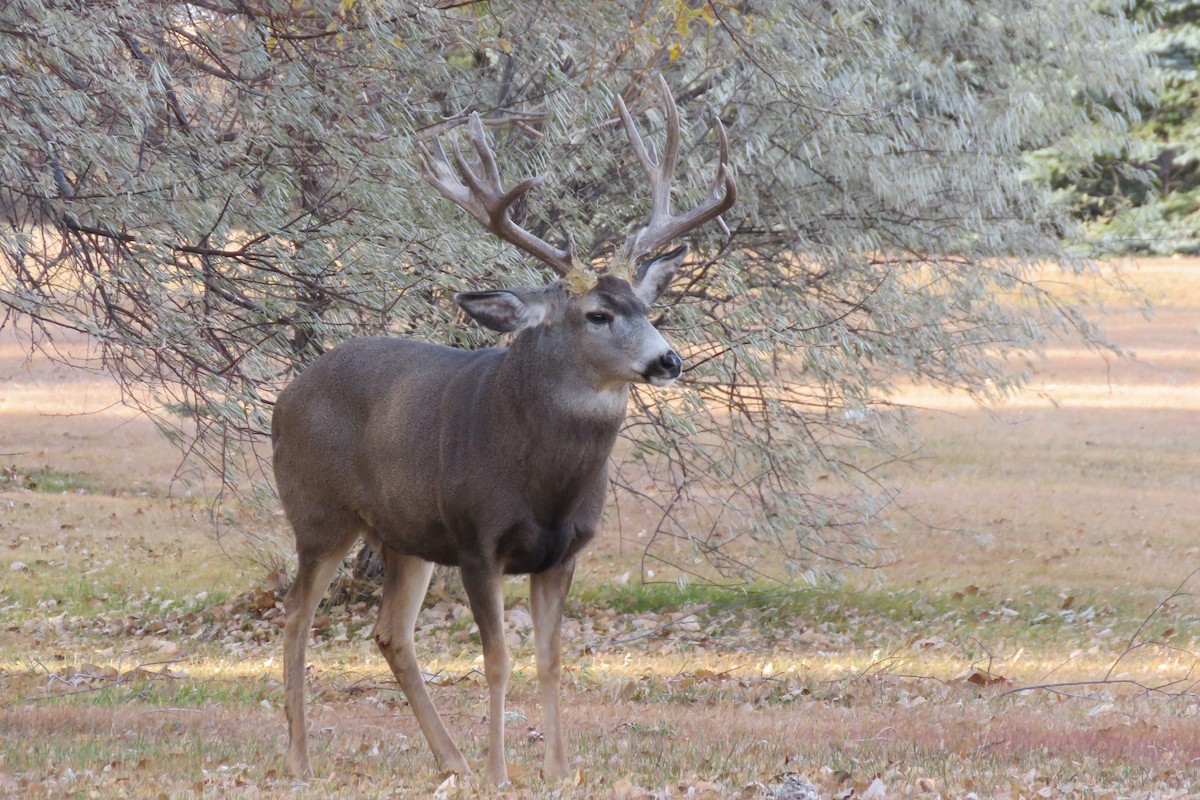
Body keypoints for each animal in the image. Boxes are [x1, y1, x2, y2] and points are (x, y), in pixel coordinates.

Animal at [272, 76, 736, 785]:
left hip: (405, 534)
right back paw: (301, 757)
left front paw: (558, 769)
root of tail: (285, 396)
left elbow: (551, 660)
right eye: (597, 314)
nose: (668, 360)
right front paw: (501, 772)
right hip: (319, 514)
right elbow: (497, 661)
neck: (545, 482)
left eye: (647, 305)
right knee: (298, 615)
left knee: (389, 631)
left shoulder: (565, 551)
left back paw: (451, 760)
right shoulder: (475, 538)